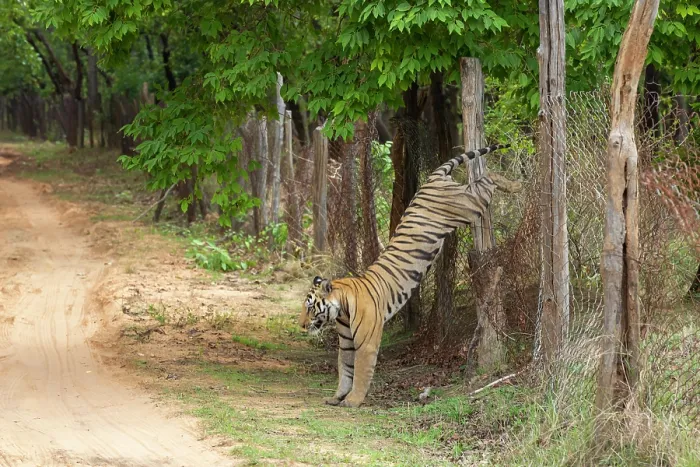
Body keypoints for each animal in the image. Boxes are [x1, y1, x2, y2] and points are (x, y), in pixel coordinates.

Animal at [299, 143, 515, 407]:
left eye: (310, 308)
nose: (301, 325)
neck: (341, 310)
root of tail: (432, 178)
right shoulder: (347, 343)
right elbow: (345, 370)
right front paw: (337, 396)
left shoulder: (366, 342)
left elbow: (359, 372)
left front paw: (353, 401)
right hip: (463, 202)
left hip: (467, 204)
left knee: (487, 181)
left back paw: (515, 185)